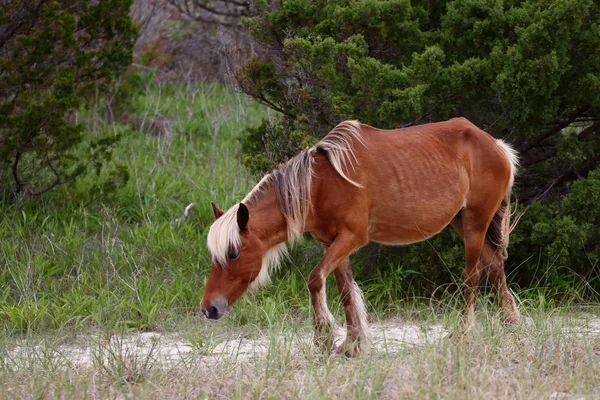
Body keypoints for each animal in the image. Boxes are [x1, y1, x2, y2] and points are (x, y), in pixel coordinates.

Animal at [202, 116, 520, 356]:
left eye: (233, 253)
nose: (209, 309)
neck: (320, 184)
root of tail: (496, 145)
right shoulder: (333, 243)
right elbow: (344, 291)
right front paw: (352, 344)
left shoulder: (351, 238)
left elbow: (315, 279)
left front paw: (324, 337)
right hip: (463, 223)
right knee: (495, 266)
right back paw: (510, 324)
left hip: (475, 225)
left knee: (473, 275)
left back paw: (463, 333)